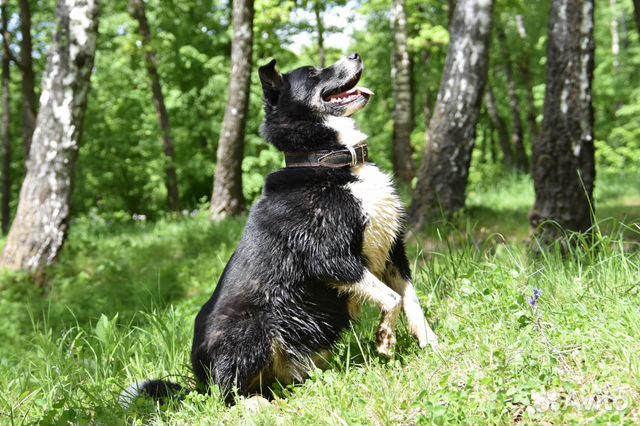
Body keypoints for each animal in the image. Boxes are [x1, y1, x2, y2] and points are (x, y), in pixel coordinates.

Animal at [120, 54, 440, 410]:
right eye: (313, 73)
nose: (355, 55)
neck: (330, 163)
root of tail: (200, 383)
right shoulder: (330, 258)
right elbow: (391, 298)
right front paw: (385, 338)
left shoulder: (393, 252)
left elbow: (410, 299)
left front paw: (430, 344)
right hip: (251, 329)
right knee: (226, 395)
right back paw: (254, 404)